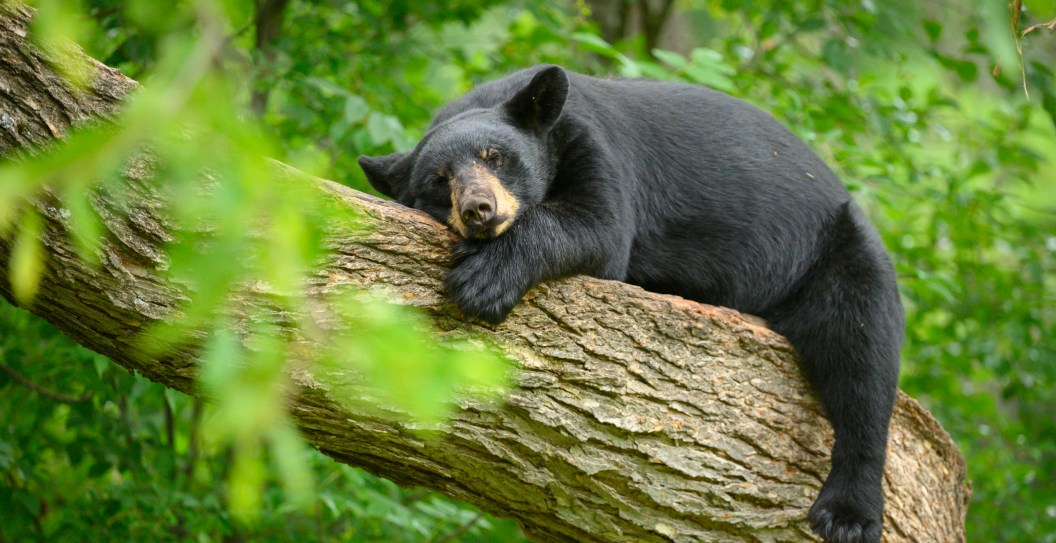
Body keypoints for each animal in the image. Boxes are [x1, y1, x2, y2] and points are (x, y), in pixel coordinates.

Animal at [359, 65, 904, 543]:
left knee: (862, 356)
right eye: (438, 178)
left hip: (838, 253)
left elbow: (598, 226)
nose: (479, 209)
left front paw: (484, 280)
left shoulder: (596, 147)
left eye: (496, 156)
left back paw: (847, 513)